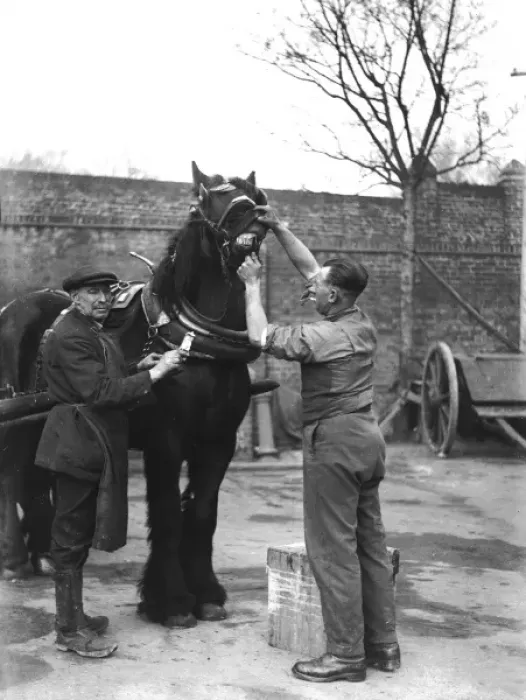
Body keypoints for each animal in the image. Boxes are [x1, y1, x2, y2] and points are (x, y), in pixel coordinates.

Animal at [0, 162, 271, 626]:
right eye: (206, 200)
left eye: (255, 195)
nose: (256, 217)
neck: (196, 341)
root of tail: (15, 306)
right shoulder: (166, 441)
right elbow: (166, 514)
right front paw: (172, 601)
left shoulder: (218, 442)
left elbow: (203, 512)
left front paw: (207, 593)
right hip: (14, 423)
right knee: (12, 477)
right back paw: (16, 559)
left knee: (36, 477)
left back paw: (45, 554)